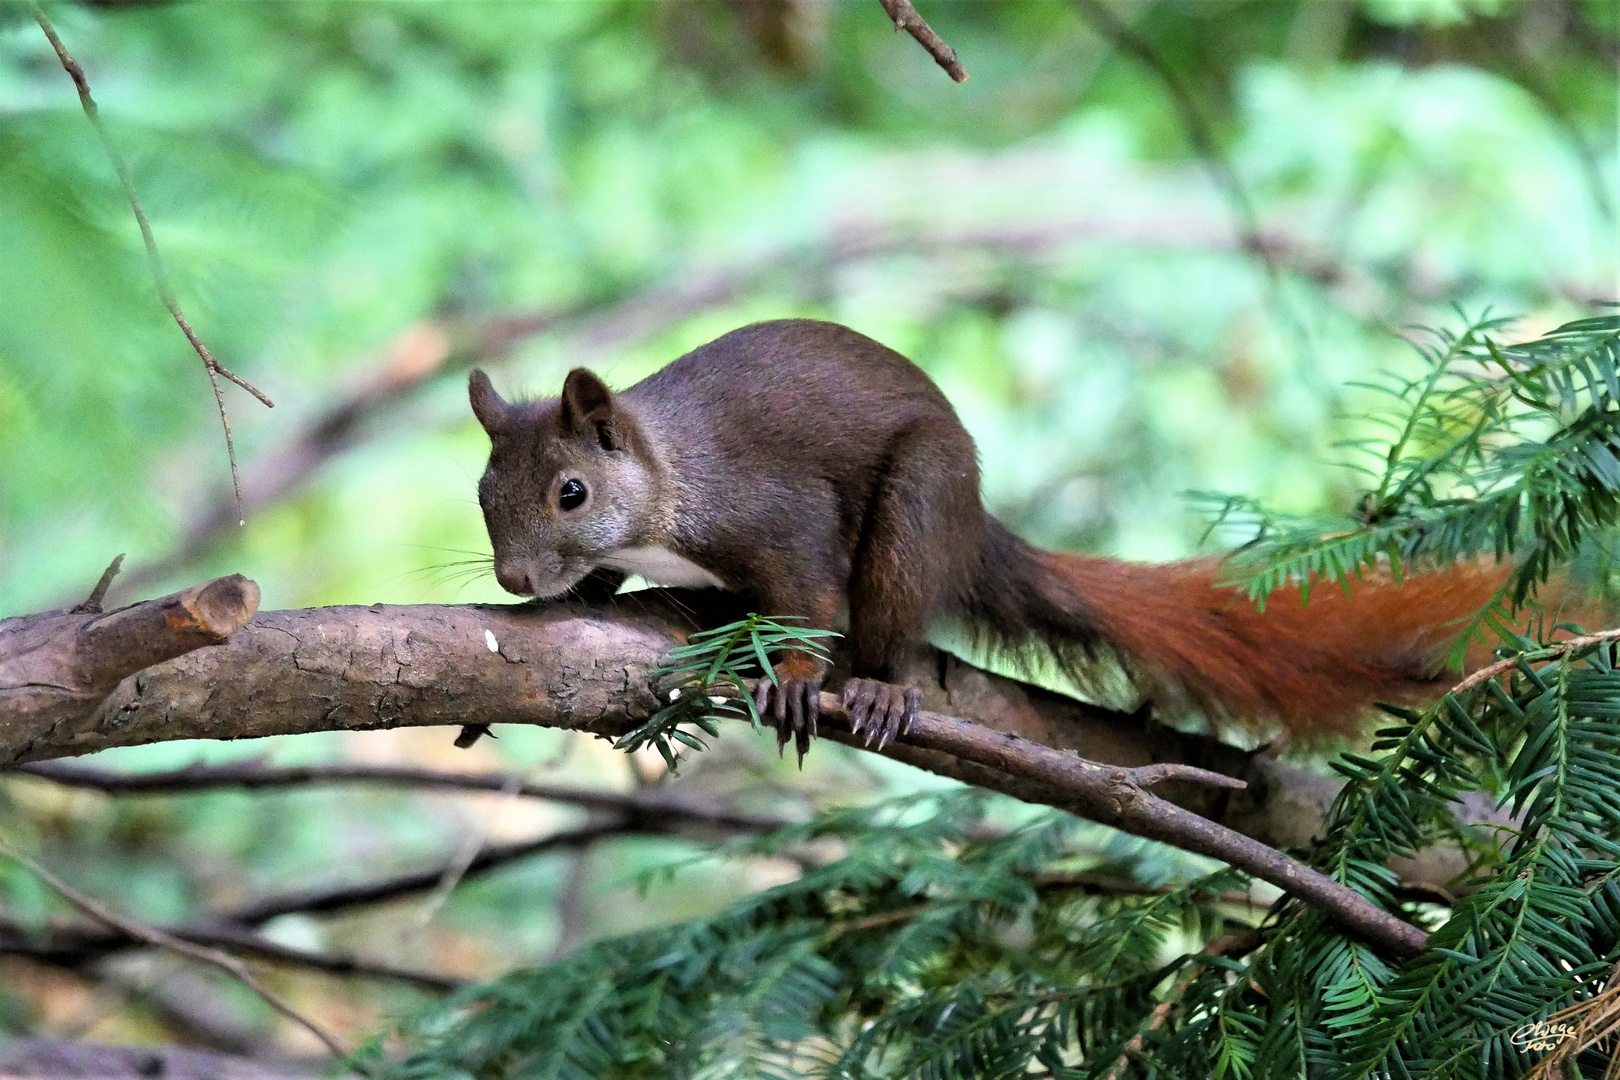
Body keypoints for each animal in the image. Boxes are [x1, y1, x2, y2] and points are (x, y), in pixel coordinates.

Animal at [469, 320, 1503, 757]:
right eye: (482, 493)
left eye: (571, 492)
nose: (516, 579)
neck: (666, 482)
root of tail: (976, 529)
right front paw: (592, 591)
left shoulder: (773, 514)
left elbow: (810, 601)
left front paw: (796, 679)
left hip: (918, 507)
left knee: (888, 624)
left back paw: (880, 689)